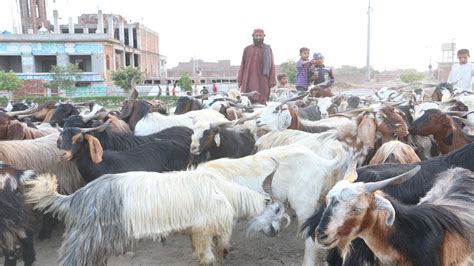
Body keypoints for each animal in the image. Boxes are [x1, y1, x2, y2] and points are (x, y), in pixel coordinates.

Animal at [25, 171, 288, 264]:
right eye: (277, 211)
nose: (276, 232)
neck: (226, 193)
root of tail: (77, 197)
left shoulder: (196, 232)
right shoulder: (204, 230)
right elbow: (210, 257)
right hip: (86, 235)